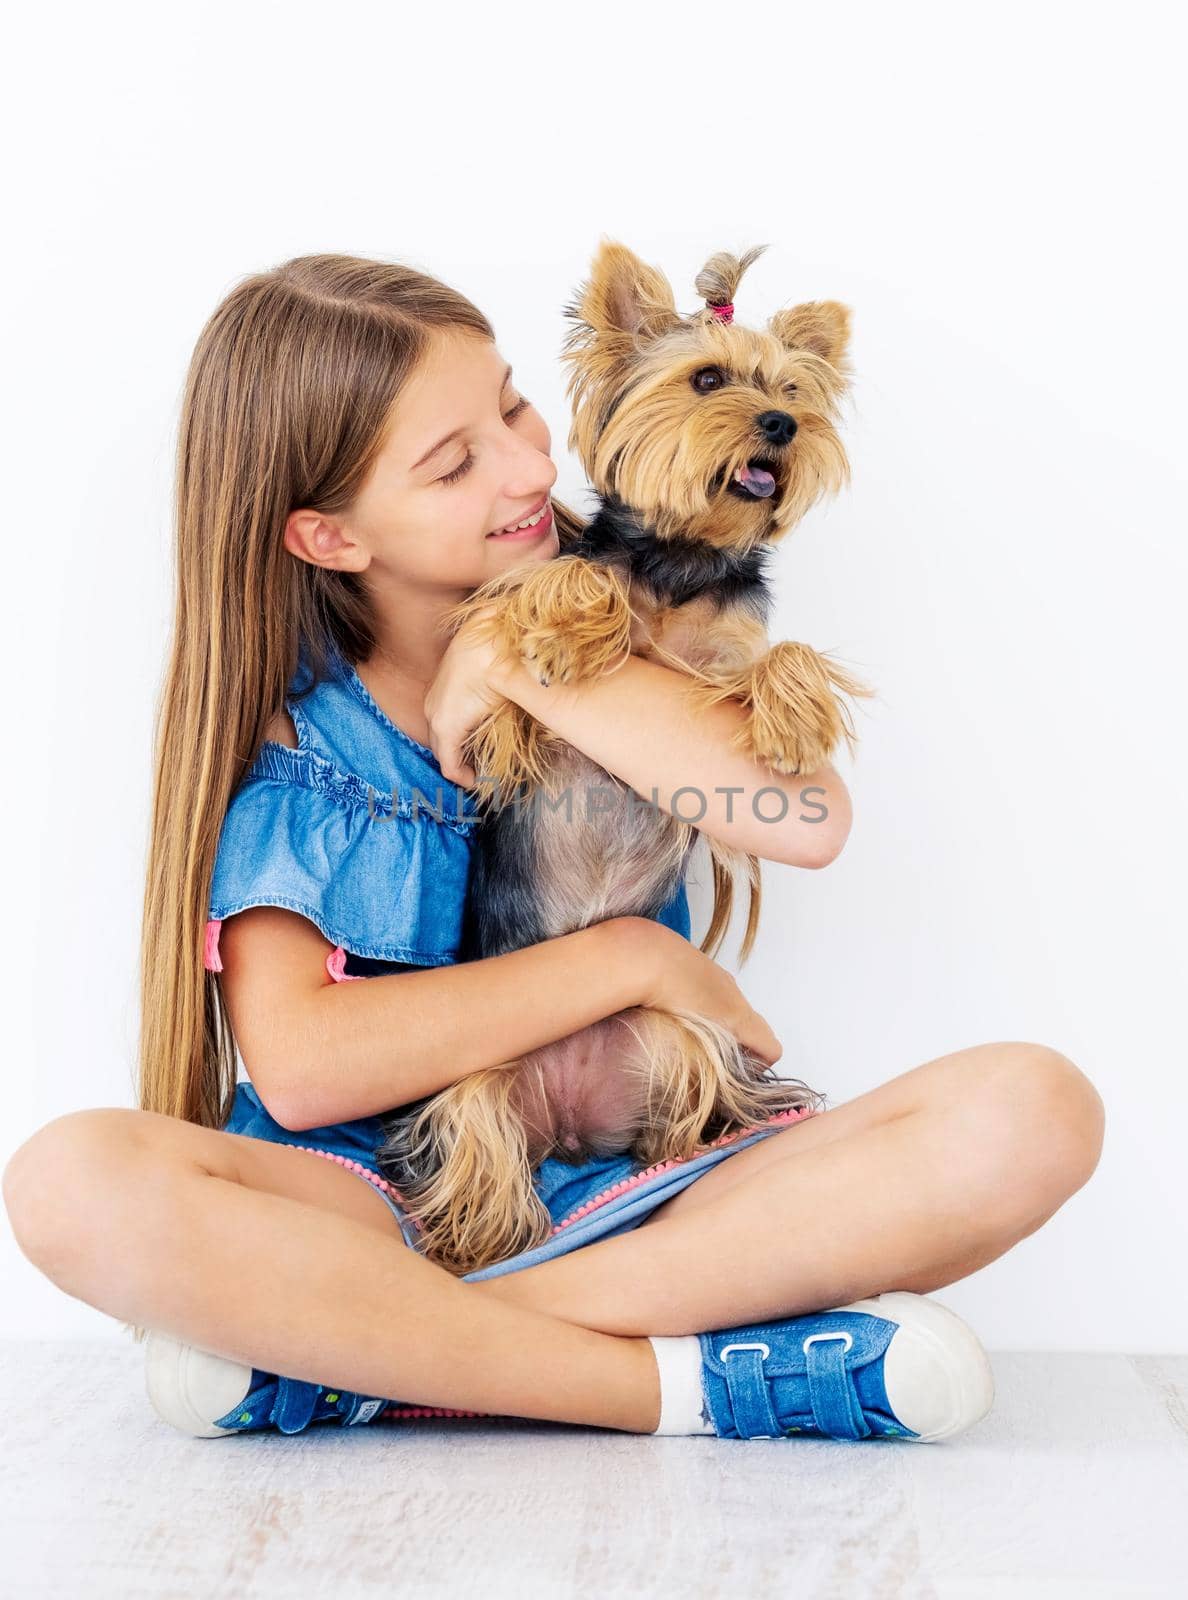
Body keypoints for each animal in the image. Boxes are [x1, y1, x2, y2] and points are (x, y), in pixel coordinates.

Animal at [376, 236, 870, 1273]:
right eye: (709, 379)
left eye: (792, 390)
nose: (779, 423)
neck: (682, 560)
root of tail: (568, 1127)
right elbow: (564, 582)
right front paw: (572, 631)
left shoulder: (722, 661)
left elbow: (775, 657)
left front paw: (796, 718)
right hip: (467, 1073)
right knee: (476, 1143)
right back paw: (477, 1240)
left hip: (678, 1034)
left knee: (689, 1103)